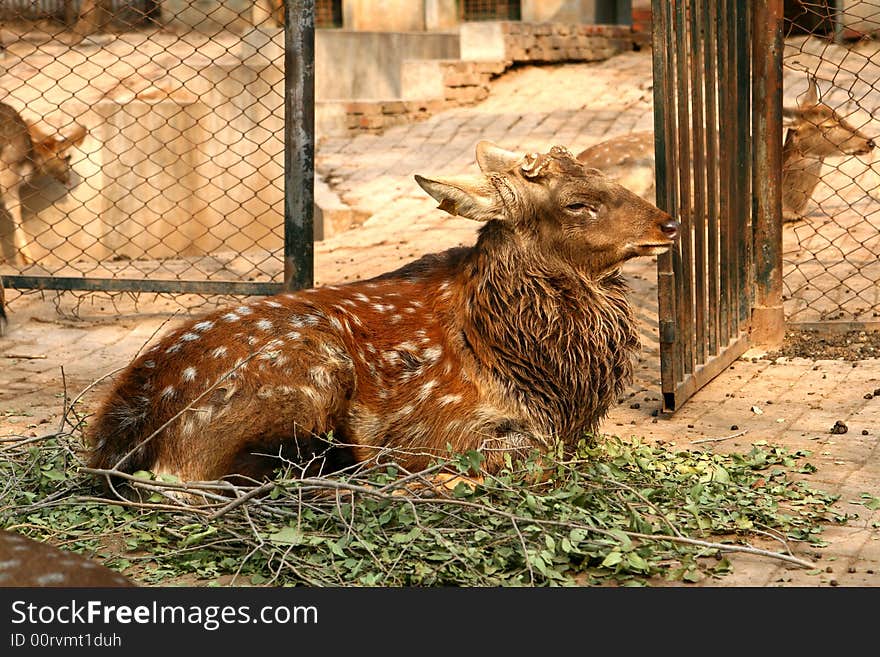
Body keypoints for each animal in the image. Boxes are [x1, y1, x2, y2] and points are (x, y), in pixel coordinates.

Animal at [87, 141, 680, 484]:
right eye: (578, 203)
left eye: (606, 176)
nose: (669, 223)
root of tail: (119, 433)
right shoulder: (445, 424)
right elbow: (524, 455)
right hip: (299, 374)